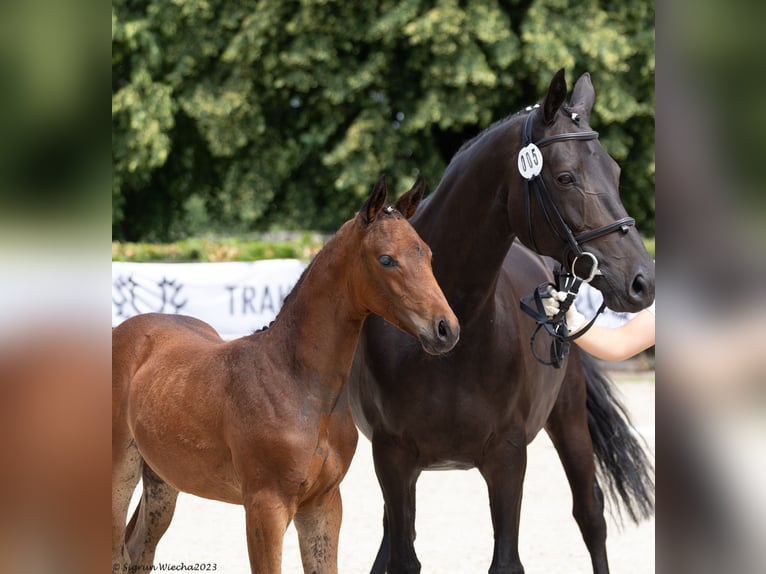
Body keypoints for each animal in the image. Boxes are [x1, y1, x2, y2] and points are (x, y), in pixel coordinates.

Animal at [112, 177, 462, 574]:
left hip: (162, 480)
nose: (446, 329)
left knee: (138, 551)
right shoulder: (265, 507)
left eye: (428, 255)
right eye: (386, 259)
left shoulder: (323, 505)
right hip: (119, 474)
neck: (299, 386)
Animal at [348, 70, 656, 572]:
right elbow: (402, 556)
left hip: (569, 419)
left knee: (591, 515)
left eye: (615, 172)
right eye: (565, 176)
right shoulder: (391, 459)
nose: (641, 282)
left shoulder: (507, 458)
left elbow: (507, 560)